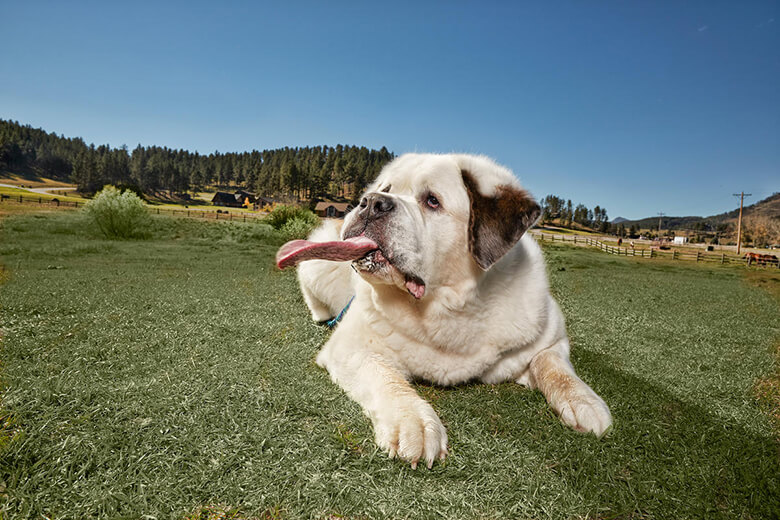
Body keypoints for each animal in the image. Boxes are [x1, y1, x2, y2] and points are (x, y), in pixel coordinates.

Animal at [278, 152, 612, 470]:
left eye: (432, 201)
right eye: (386, 188)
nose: (372, 202)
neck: (446, 307)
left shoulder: (549, 335)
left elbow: (553, 366)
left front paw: (585, 403)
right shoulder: (351, 347)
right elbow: (384, 376)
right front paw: (414, 420)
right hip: (317, 266)